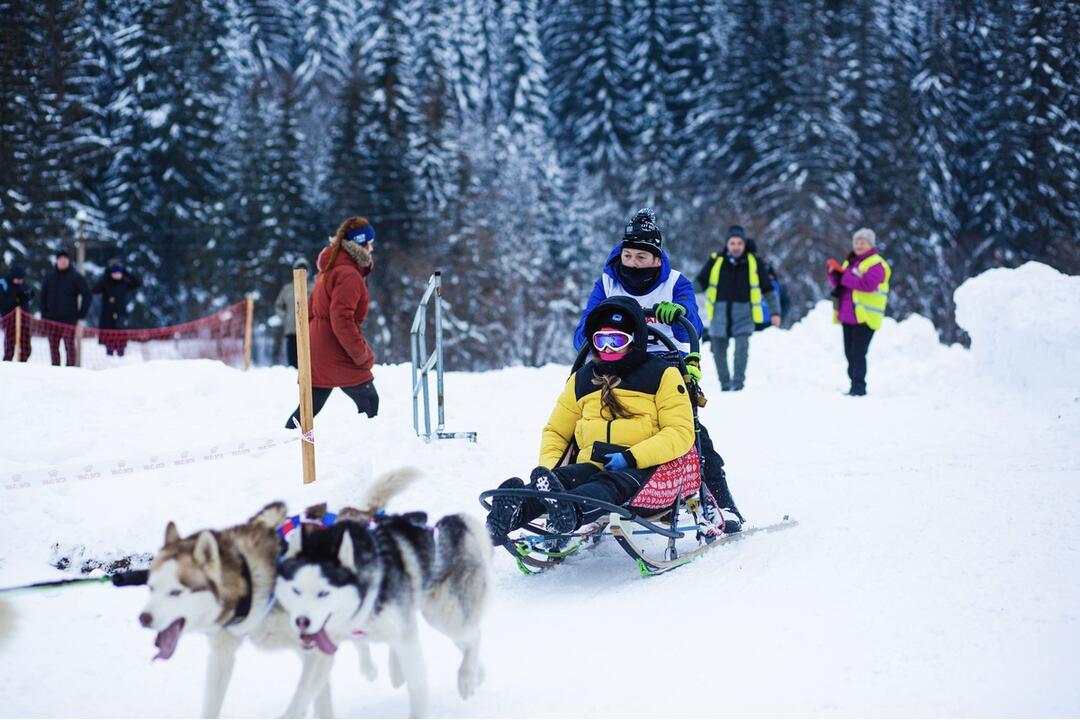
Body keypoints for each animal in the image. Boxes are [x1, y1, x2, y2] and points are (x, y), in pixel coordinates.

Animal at [274, 470, 494, 716]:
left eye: (323, 593)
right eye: (296, 590)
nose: (302, 622)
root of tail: (456, 524)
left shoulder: (404, 636)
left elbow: (417, 686)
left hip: (445, 616)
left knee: (473, 635)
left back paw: (467, 677)